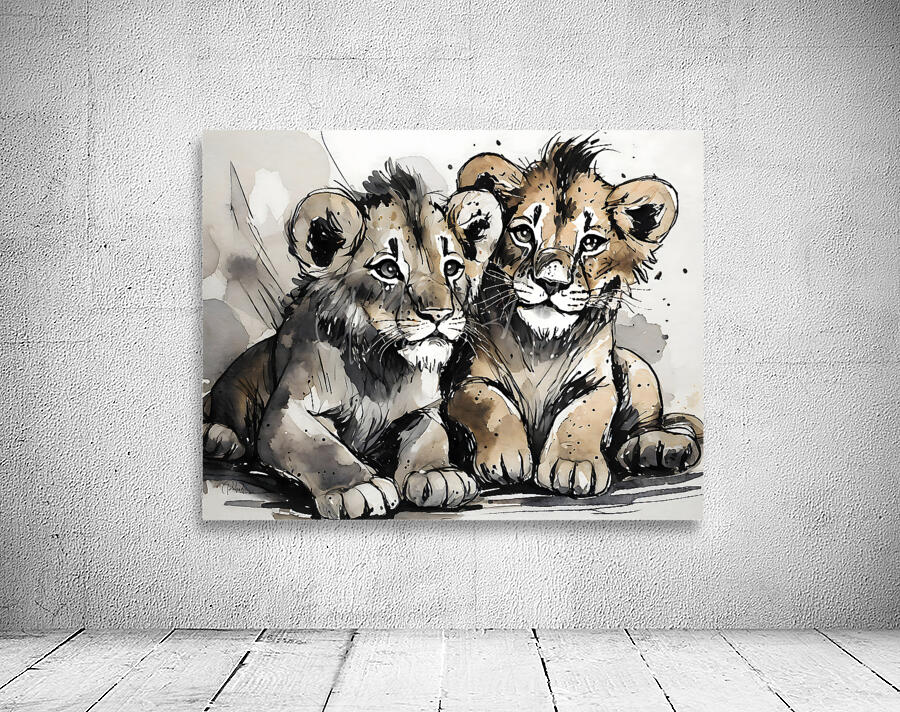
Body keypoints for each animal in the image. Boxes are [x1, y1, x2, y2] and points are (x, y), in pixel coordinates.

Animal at [203, 163, 503, 518]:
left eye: (453, 267)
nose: (439, 314)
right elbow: (322, 448)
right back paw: (220, 437)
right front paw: (359, 487)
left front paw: (438, 474)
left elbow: (432, 437)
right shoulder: (286, 411)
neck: (381, 367)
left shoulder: (424, 410)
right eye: (388, 269)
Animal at [446, 137, 703, 497]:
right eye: (523, 233)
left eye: (591, 242)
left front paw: (574, 465)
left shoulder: (598, 383)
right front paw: (506, 458)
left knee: (646, 425)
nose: (551, 281)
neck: (541, 346)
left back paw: (660, 448)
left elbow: (583, 415)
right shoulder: (466, 378)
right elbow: (488, 402)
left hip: (637, 367)